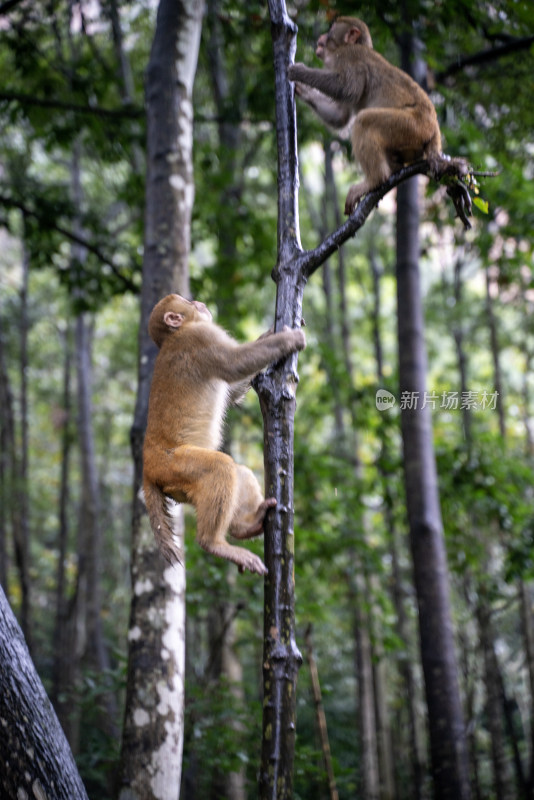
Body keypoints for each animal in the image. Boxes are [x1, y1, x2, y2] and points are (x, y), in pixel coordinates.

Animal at [142, 294, 308, 576]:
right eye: (187, 302)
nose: (198, 302)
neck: (177, 334)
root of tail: (147, 468)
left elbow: (232, 389)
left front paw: (269, 334)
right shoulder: (200, 336)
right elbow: (234, 363)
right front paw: (290, 339)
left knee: (238, 472)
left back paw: (246, 526)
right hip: (172, 465)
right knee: (219, 467)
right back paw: (213, 543)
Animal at [292, 16, 472, 222]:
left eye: (331, 29)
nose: (322, 36)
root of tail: (435, 130)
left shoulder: (348, 56)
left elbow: (347, 89)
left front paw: (299, 72)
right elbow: (340, 116)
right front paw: (301, 89)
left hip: (413, 126)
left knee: (364, 121)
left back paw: (375, 180)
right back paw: (393, 167)